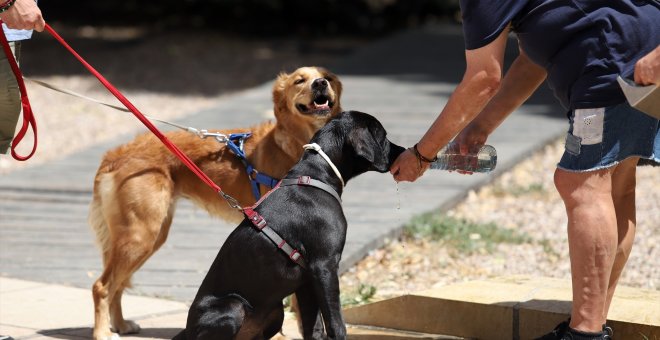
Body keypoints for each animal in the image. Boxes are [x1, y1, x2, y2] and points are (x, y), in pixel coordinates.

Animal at [89, 66, 342, 340]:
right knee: (102, 286)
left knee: (117, 285)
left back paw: (120, 324)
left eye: (328, 77)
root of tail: (116, 154)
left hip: (149, 236)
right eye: (299, 80)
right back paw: (102, 332)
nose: (320, 83)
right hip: (140, 235)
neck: (296, 146)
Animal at [173, 110, 404, 338]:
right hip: (234, 306)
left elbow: (314, 327)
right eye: (383, 137)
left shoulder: (306, 280)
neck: (317, 176)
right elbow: (336, 322)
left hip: (276, 313)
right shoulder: (325, 266)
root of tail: (186, 331)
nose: (402, 150)